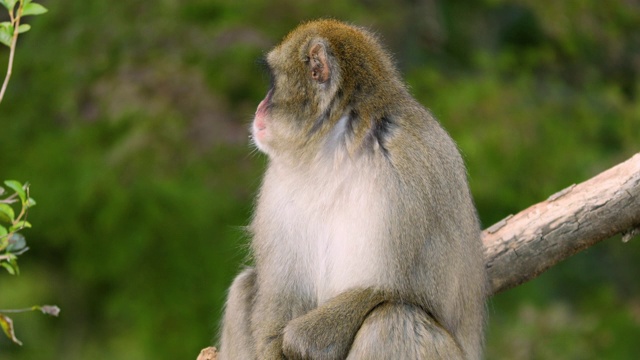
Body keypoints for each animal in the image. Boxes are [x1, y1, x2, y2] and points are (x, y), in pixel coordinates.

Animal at [218, 20, 488, 360]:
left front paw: (302, 339)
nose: (259, 108)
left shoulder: (410, 164)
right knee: (245, 286)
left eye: (273, 83)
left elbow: (398, 290)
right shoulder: (278, 183)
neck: (335, 151)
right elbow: (280, 293)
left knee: (394, 319)